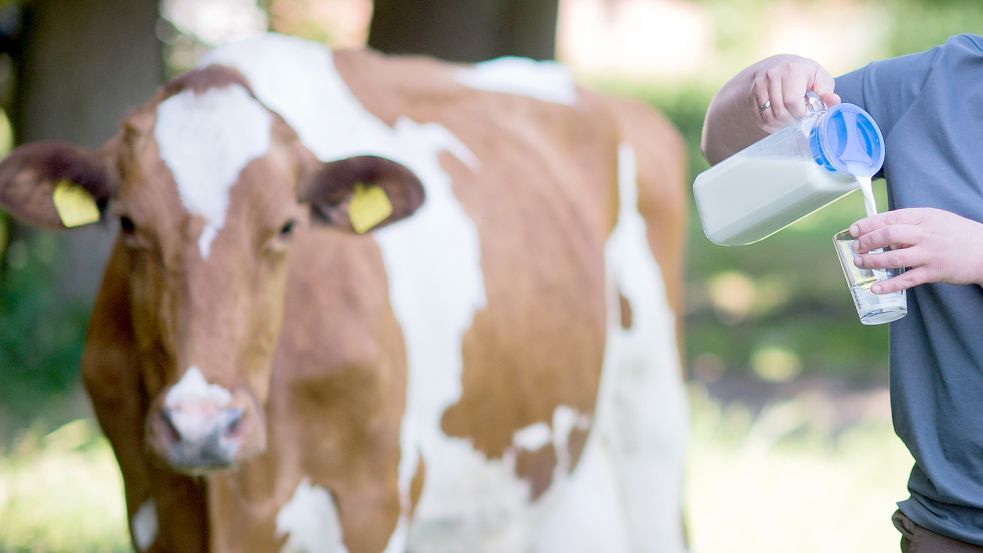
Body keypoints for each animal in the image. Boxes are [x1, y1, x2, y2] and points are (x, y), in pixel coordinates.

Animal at [0, 33, 692, 552]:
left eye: (287, 226)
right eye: (127, 224)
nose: (202, 426)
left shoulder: (373, 503)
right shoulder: (150, 503)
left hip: (651, 422)